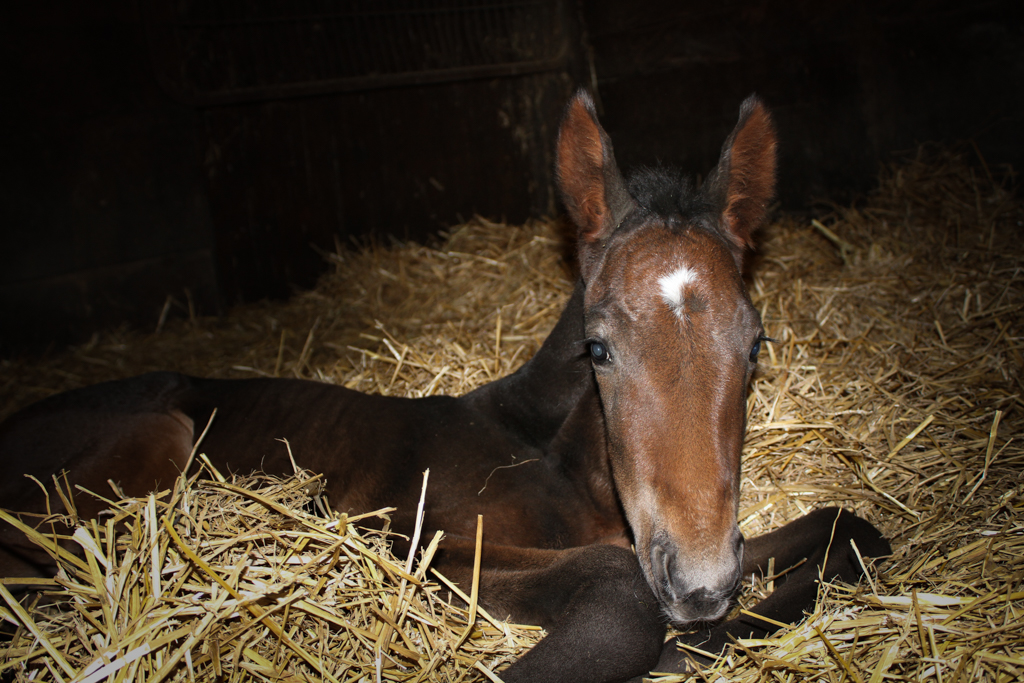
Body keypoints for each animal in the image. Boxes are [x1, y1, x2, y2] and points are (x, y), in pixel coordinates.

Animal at [0, 91, 889, 682]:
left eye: (755, 343)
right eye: (599, 348)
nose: (700, 584)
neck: (553, 462)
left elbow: (852, 527)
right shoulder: (405, 535)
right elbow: (622, 595)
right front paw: (683, 640)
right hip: (164, 433)